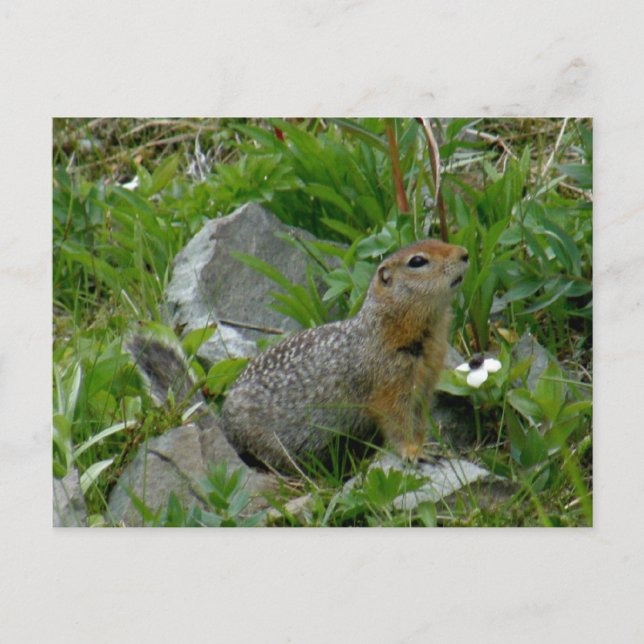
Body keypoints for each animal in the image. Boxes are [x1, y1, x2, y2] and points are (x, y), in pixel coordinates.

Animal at [130, 239, 468, 474]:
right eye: (417, 261)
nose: (465, 253)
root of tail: (222, 426)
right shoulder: (387, 385)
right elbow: (396, 422)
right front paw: (414, 452)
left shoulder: (424, 384)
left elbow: (419, 420)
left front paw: (428, 445)